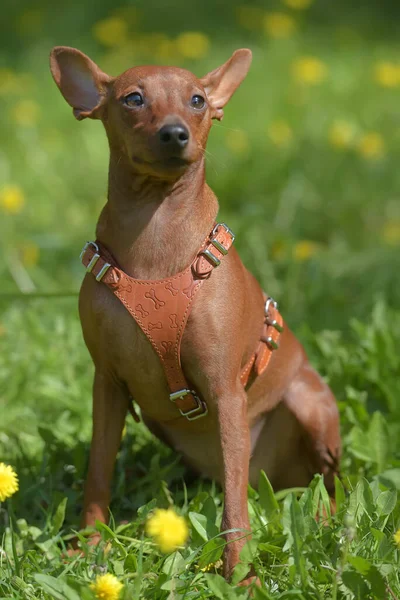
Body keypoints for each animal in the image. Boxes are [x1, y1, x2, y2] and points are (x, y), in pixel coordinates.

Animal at [48, 48, 340, 584]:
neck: (155, 238)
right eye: (133, 99)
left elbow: (233, 509)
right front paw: (89, 546)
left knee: (324, 485)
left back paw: (322, 517)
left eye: (198, 100)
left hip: (308, 407)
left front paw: (240, 573)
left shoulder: (225, 392)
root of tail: (275, 478)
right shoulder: (107, 385)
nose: (174, 132)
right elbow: (98, 472)